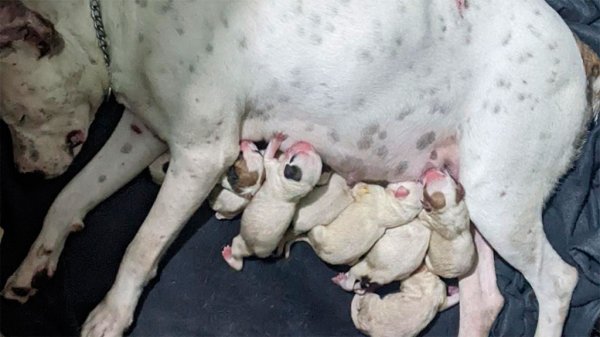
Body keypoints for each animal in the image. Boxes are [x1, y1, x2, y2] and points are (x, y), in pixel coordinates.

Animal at [221, 133, 324, 270]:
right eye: (315, 154)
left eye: (294, 157)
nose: (307, 144)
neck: (292, 188)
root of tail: (255, 252)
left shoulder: (271, 165)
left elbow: (268, 155)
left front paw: (276, 139)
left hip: (240, 244)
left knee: (238, 263)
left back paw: (228, 255)